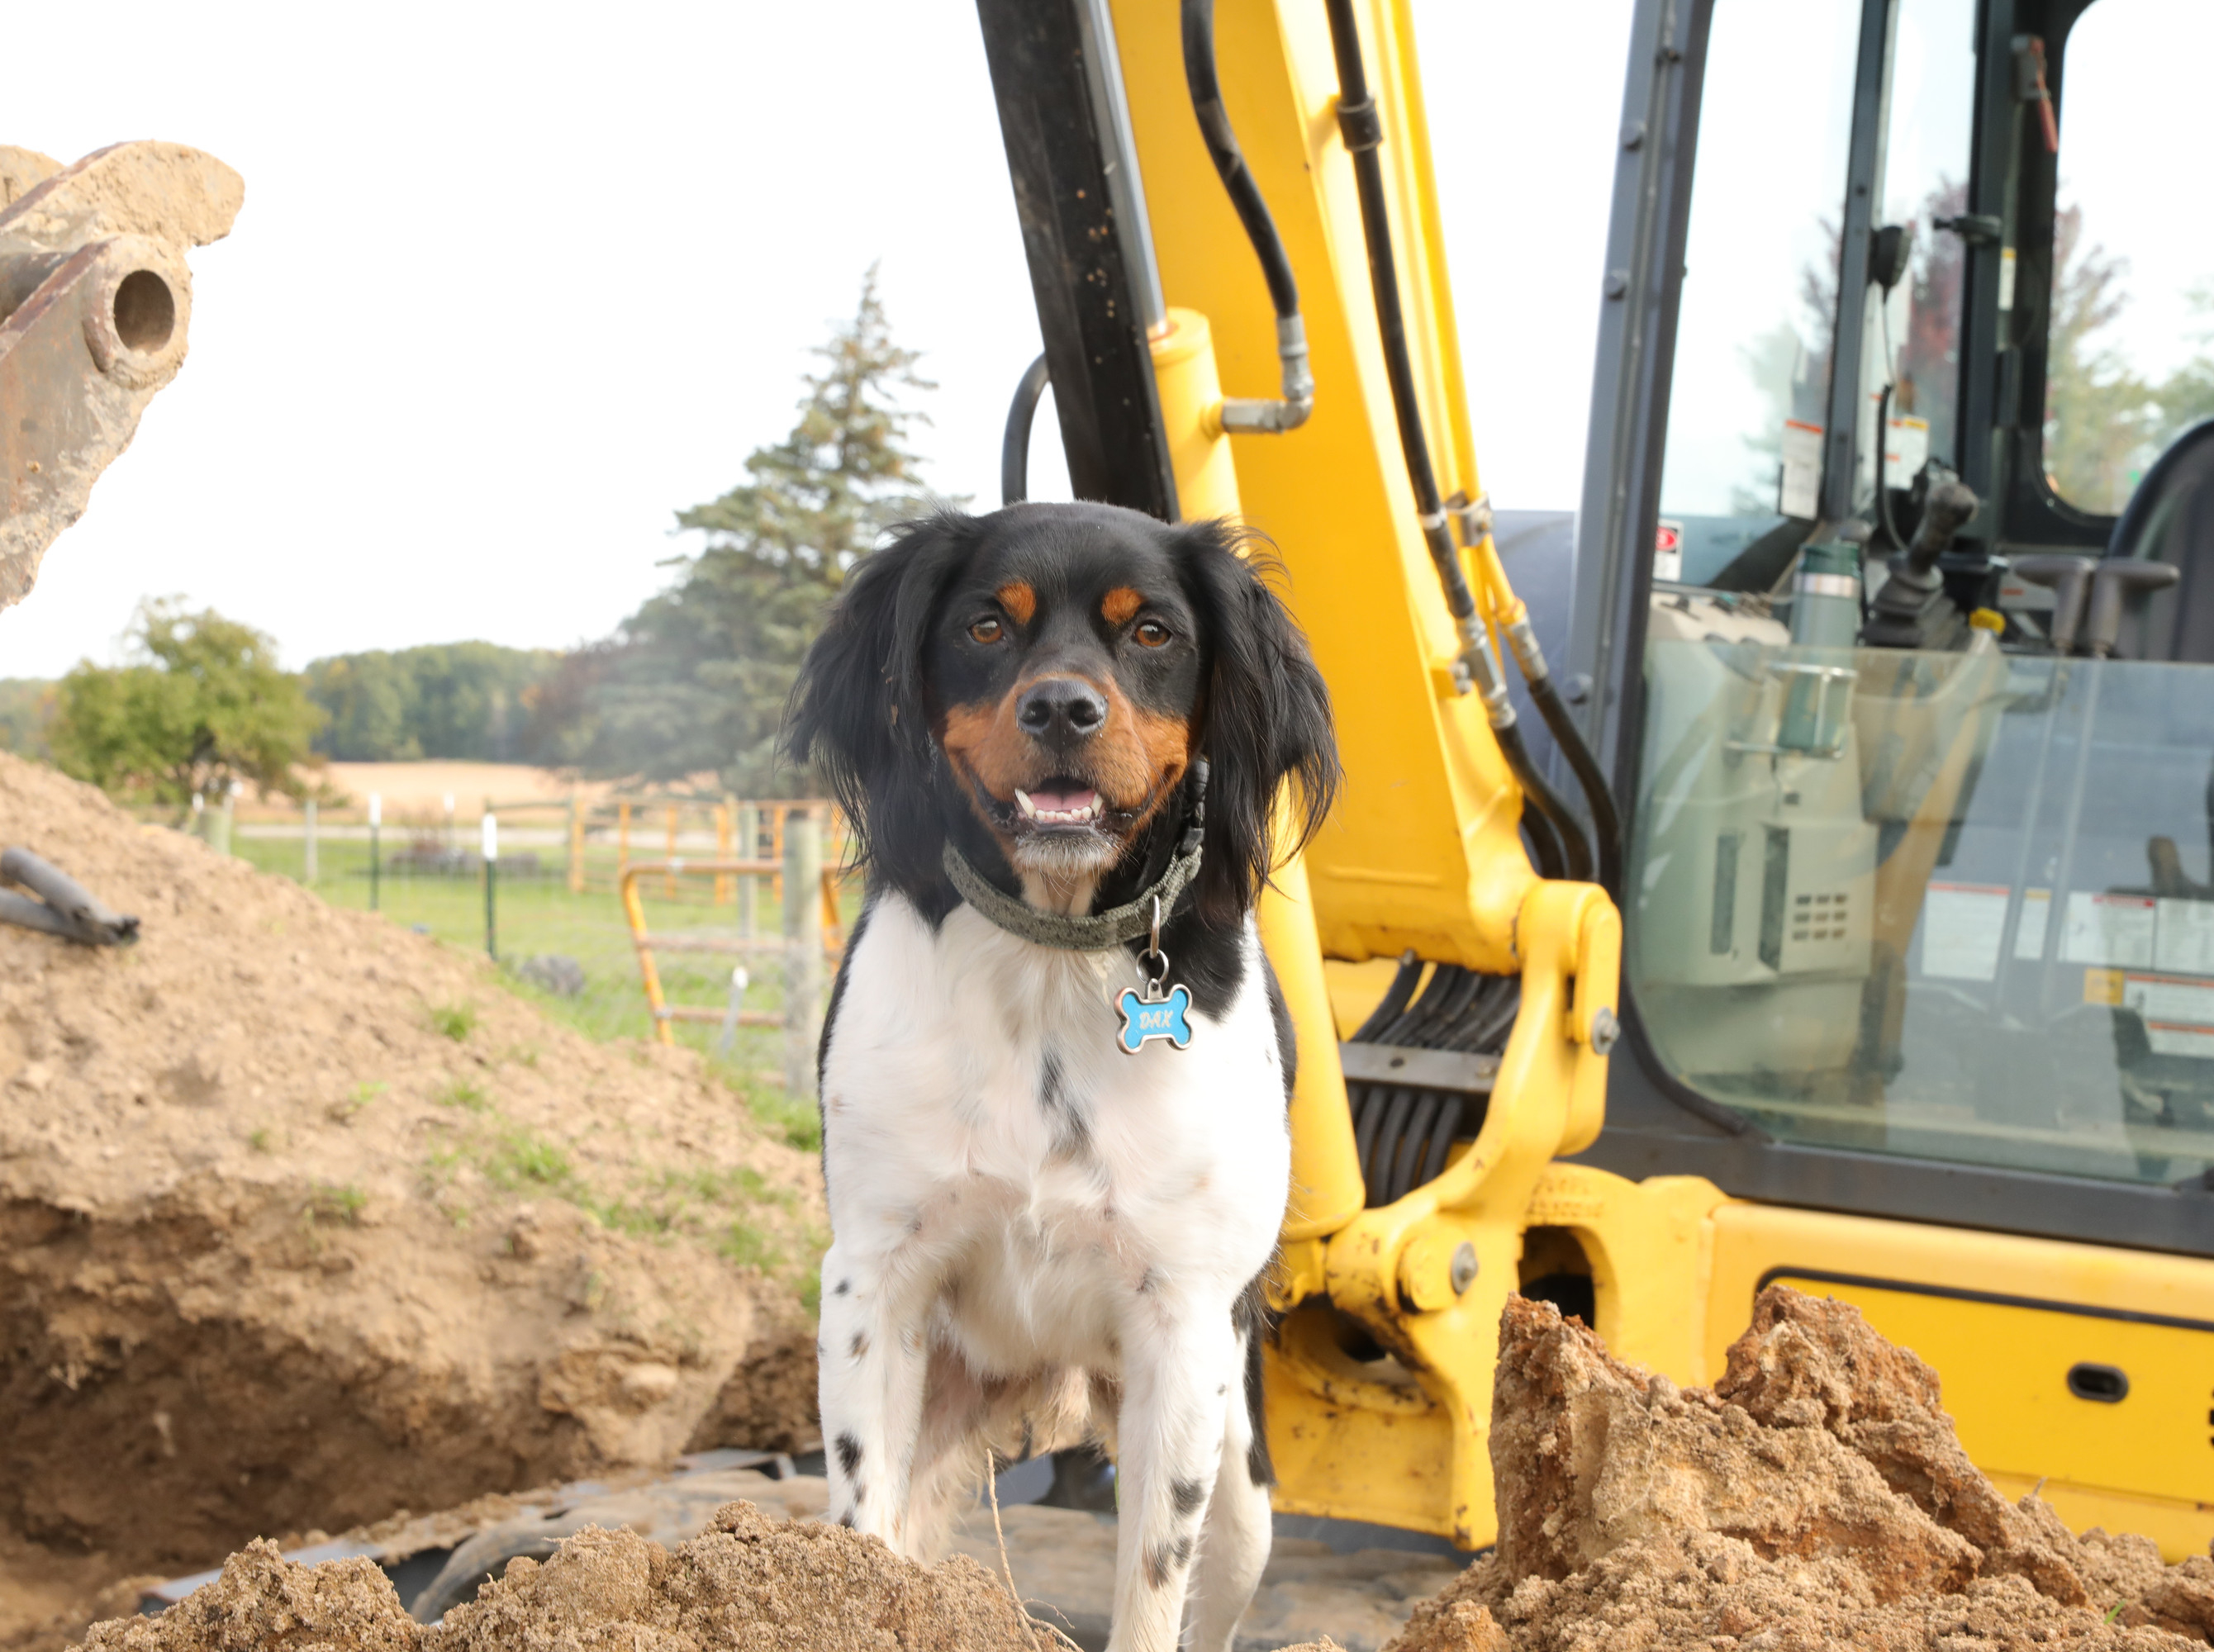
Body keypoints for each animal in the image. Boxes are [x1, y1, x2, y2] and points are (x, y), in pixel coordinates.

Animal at [786, 501, 1338, 1652]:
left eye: (1153, 632)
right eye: (988, 624)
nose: (1061, 709)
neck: (1052, 955)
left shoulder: (1181, 1319)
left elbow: (1151, 1585)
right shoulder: (872, 1278)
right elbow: (862, 1534)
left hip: (1242, 1484)